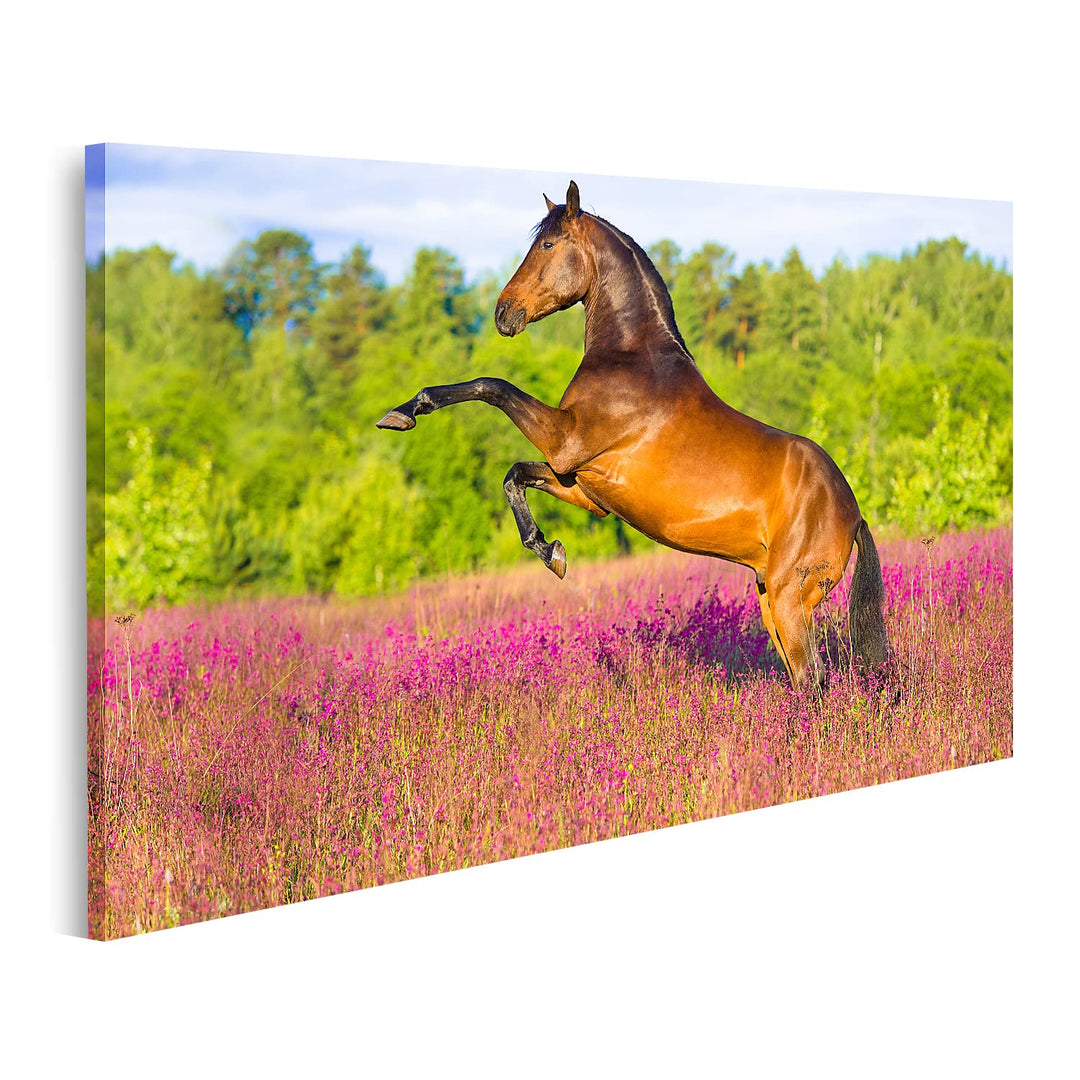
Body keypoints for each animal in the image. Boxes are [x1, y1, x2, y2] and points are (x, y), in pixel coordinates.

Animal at [377, 181, 889, 691]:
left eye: (547, 244)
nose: (504, 313)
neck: (630, 357)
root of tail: (853, 512)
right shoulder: (583, 486)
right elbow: (515, 474)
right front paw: (551, 551)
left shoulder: (563, 441)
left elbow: (493, 386)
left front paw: (403, 413)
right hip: (769, 598)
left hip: (788, 597)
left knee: (812, 678)